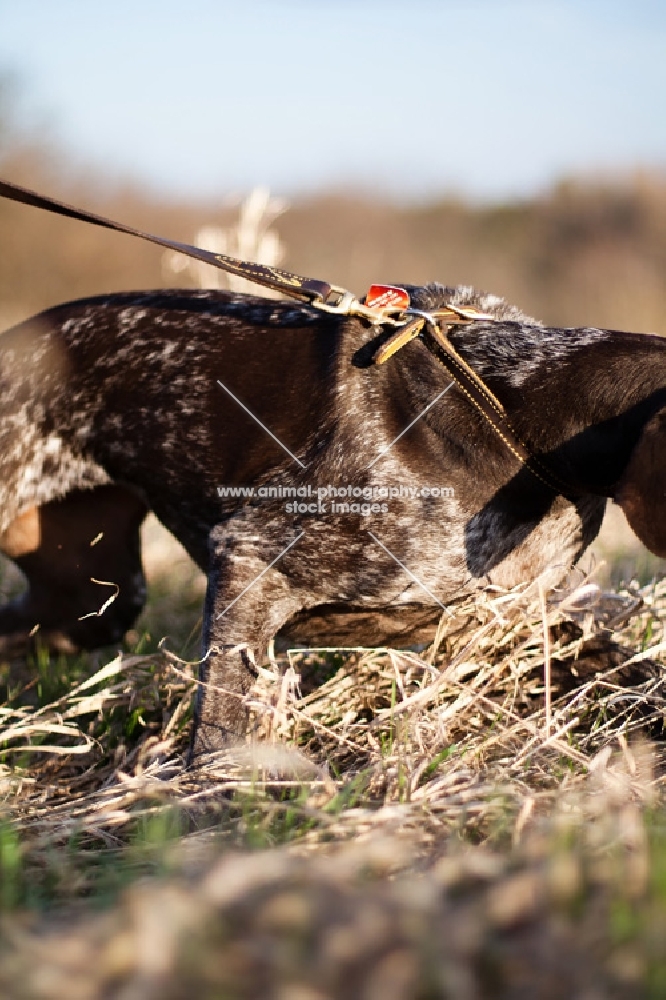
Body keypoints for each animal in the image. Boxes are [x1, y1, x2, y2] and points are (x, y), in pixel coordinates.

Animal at [0, 282, 660, 756]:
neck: (511, 409)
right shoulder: (250, 557)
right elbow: (222, 720)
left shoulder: (516, 618)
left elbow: (624, 667)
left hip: (91, 601)